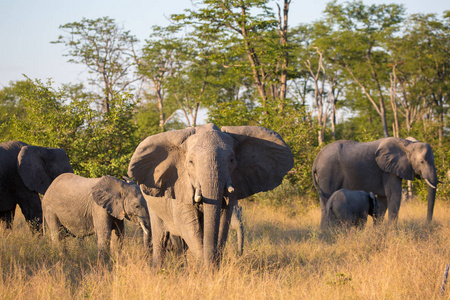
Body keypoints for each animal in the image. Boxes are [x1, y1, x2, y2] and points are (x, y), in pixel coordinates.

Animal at [128, 123, 294, 268]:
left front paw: (212, 267)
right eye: (190, 162)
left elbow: (223, 222)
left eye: (232, 160)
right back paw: (158, 270)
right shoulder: (180, 184)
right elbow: (188, 225)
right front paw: (205, 268)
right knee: (160, 237)